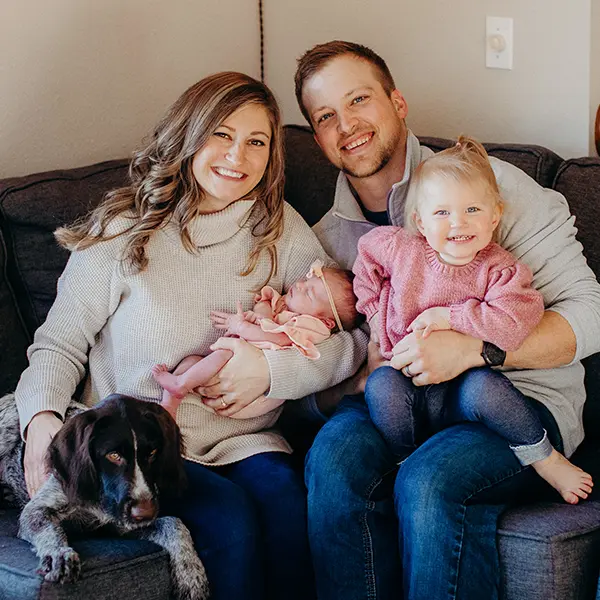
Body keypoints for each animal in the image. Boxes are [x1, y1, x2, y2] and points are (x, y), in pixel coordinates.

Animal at [0, 394, 209, 600]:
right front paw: (59, 554)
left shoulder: (119, 525)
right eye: (113, 455)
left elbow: (174, 523)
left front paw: (192, 576)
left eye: (152, 452)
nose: (145, 514)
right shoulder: (37, 510)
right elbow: (49, 528)